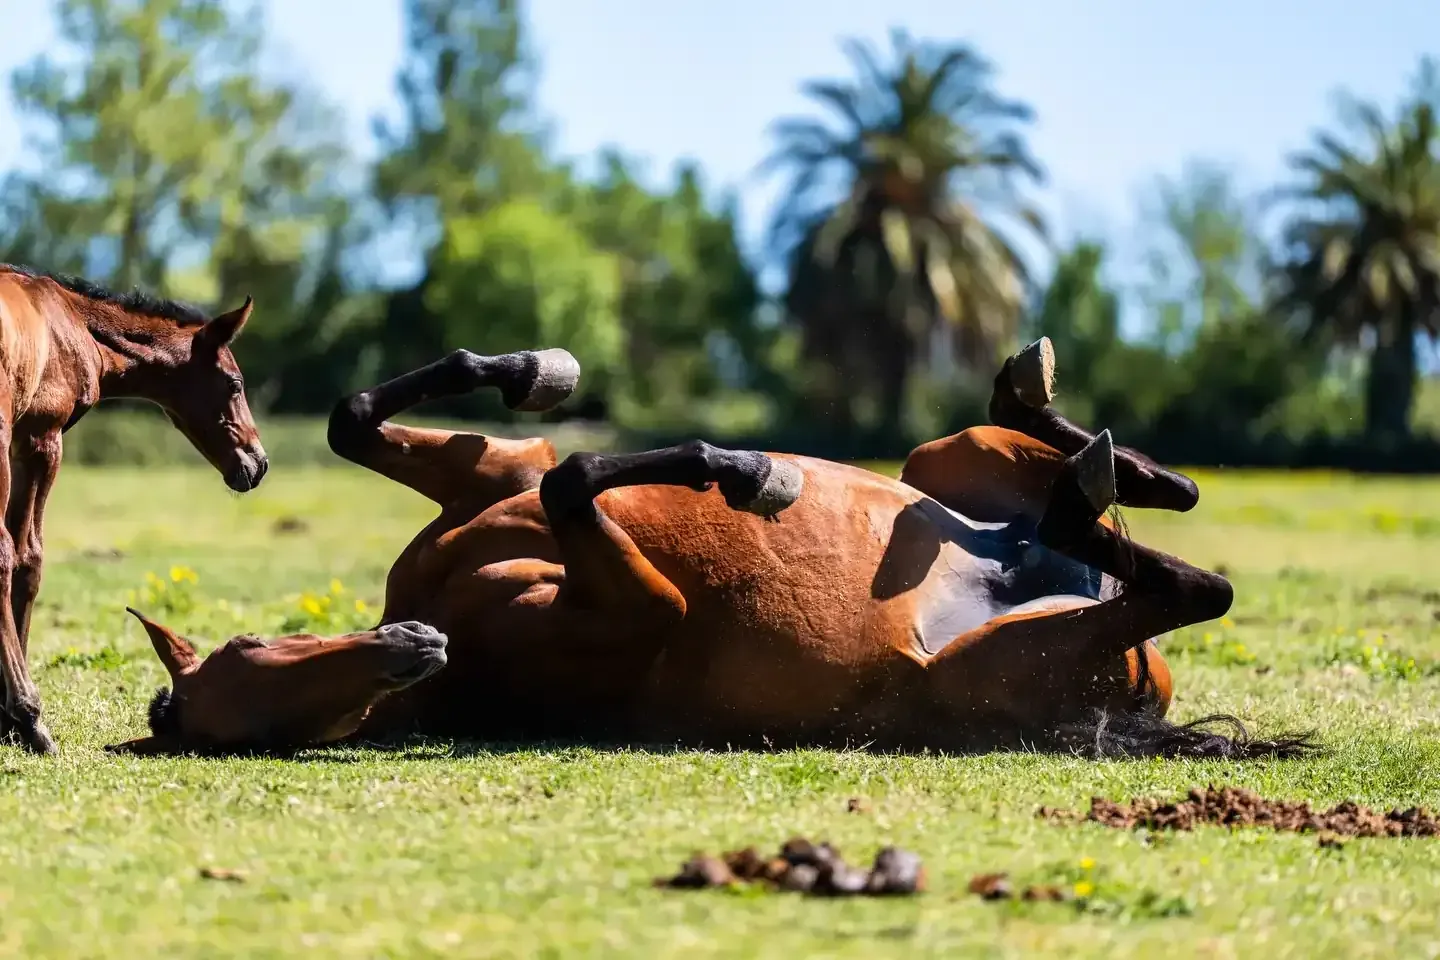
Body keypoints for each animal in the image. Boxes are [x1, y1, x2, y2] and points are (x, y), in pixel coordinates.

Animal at [0, 264, 268, 754]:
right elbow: (29, 557)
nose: (258, 464)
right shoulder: (39, 437)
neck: (71, 322)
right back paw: (32, 719)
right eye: (235, 384)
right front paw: (18, 720)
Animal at [108, 338, 1312, 759]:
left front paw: (535, 367)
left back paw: (1063, 433)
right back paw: (1074, 503)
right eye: (259, 730)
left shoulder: (489, 479)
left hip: (946, 458)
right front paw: (743, 471)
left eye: (253, 647)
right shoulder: (650, 611)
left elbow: (362, 418)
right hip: (1003, 660)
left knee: (1125, 492)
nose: (414, 647)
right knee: (1189, 584)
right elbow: (575, 477)